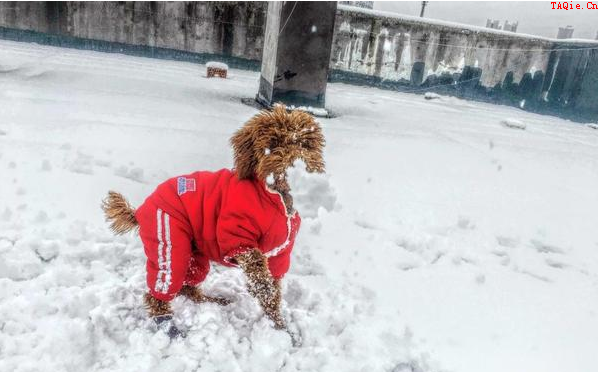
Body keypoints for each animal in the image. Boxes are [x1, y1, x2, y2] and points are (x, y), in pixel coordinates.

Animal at [103, 104, 328, 338]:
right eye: (272, 144)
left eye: (303, 143)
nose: (295, 164)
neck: (275, 197)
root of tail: (139, 210)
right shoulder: (238, 238)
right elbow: (260, 273)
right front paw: (267, 302)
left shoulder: (280, 254)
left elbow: (273, 292)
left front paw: (281, 327)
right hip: (169, 238)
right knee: (162, 288)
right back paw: (170, 327)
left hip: (195, 255)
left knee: (188, 286)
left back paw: (215, 301)